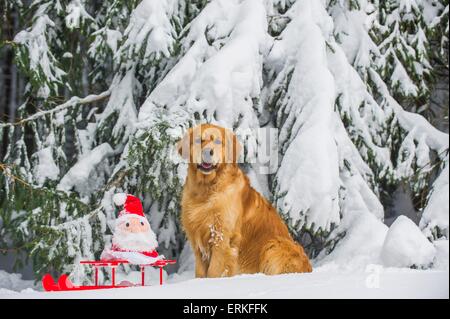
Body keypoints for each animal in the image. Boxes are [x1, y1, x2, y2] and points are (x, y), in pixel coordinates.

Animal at [178, 124, 312, 278]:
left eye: (218, 142)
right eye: (199, 140)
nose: (207, 152)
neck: (205, 190)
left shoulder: (222, 239)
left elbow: (214, 271)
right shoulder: (197, 241)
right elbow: (200, 273)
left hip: (273, 245)